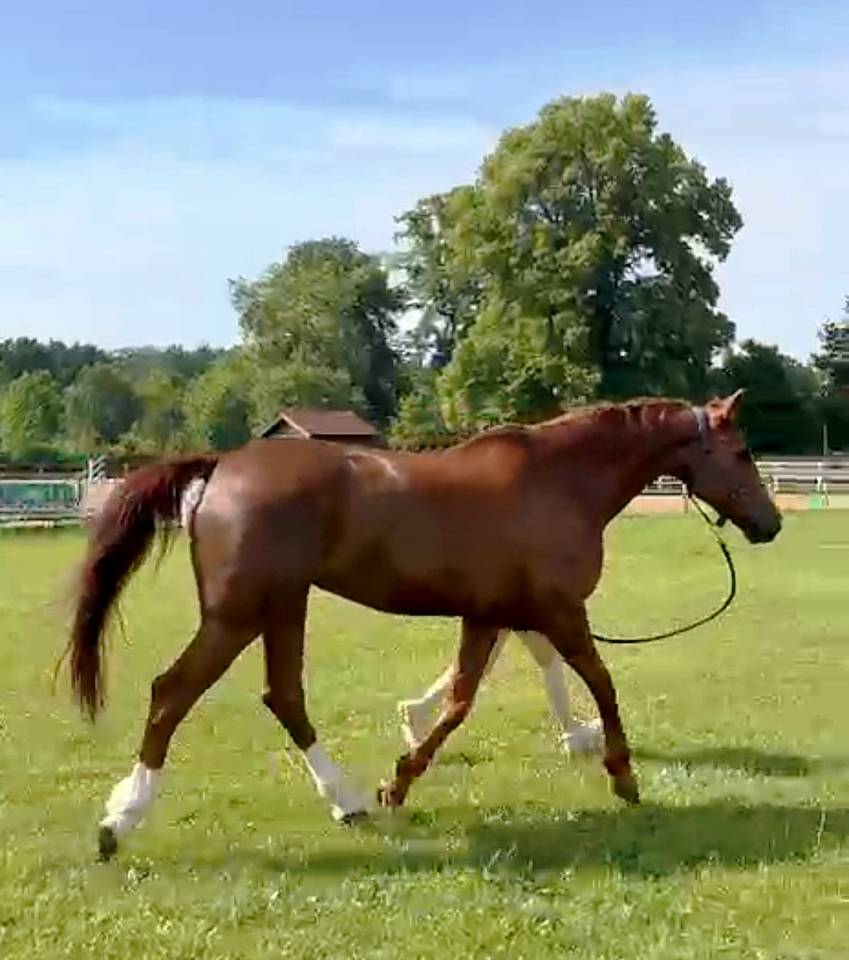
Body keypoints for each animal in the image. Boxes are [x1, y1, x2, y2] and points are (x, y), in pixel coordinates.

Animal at [66, 391, 781, 861]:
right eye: (743, 451)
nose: (770, 525)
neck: (559, 482)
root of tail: (219, 469)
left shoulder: (490, 616)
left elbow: (461, 701)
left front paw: (398, 781)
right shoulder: (559, 611)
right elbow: (600, 682)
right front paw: (622, 775)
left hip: (283, 606)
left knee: (283, 696)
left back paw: (347, 800)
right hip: (239, 612)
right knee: (172, 694)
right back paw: (119, 821)